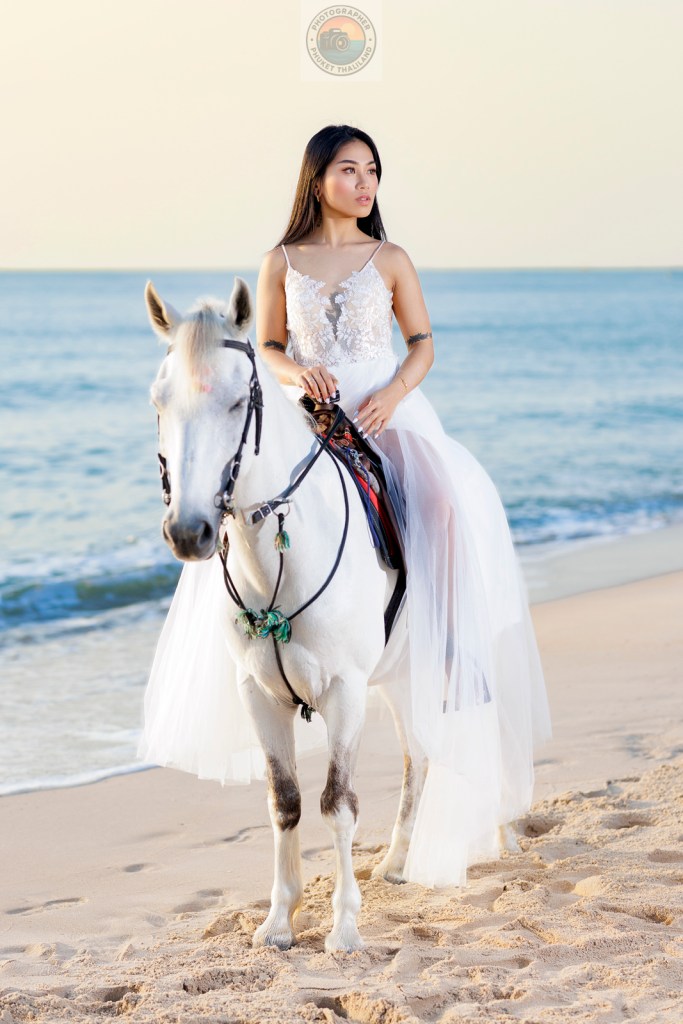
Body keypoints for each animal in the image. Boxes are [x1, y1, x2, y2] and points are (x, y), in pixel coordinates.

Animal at [145, 276, 427, 953]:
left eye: (234, 403)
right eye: (158, 402)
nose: (188, 531)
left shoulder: (346, 693)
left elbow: (338, 803)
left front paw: (345, 926)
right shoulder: (259, 694)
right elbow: (286, 801)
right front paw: (279, 919)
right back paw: (397, 862)